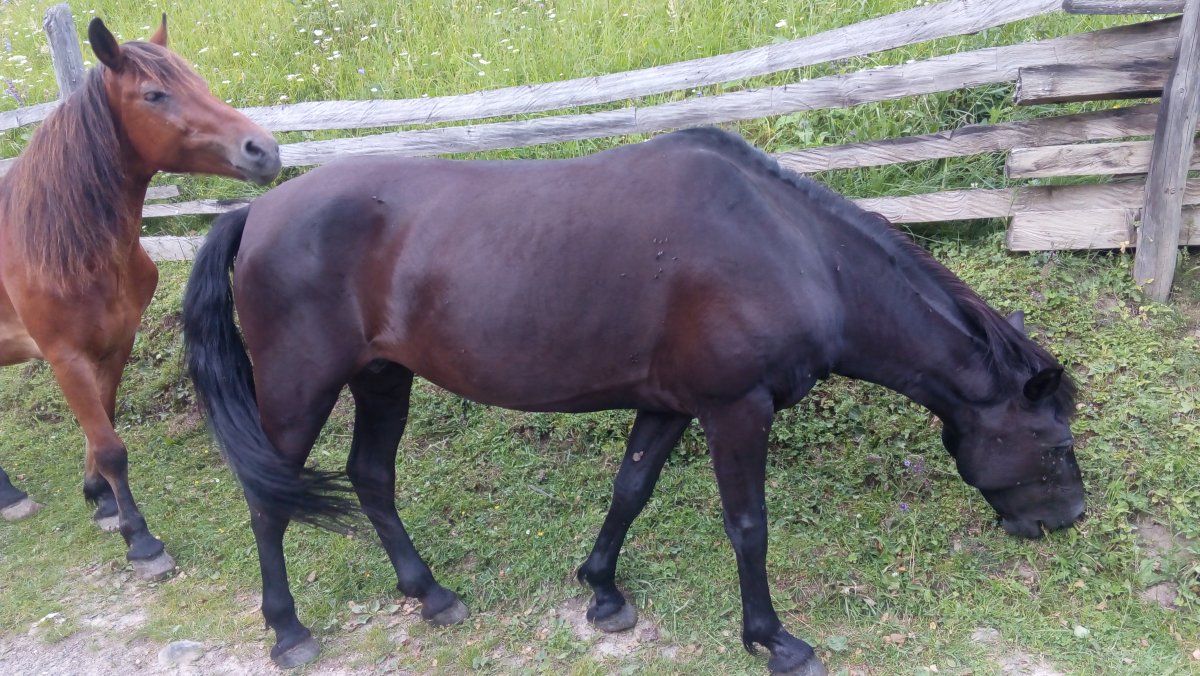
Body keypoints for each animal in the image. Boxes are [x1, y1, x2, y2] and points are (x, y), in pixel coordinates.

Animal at [0, 16, 280, 579]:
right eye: (154, 94)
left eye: (200, 84)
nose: (263, 150)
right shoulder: (65, 357)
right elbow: (109, 445)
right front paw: (140, 538)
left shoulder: (114, 346)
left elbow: (101, 428)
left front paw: (102, 501)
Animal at [182, 127, 1083, 674]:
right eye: (1057, 443)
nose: (1066, 520)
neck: (789, 251)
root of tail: (256, 209)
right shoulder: (735, 409)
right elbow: (747, 526)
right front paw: (772, 638)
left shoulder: (671, 404)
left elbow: (631, 489)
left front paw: (603, 592)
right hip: (300, 385)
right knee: (268, 499)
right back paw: (288, 629)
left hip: (381, 378)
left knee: (372, 476)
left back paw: (429, 592)